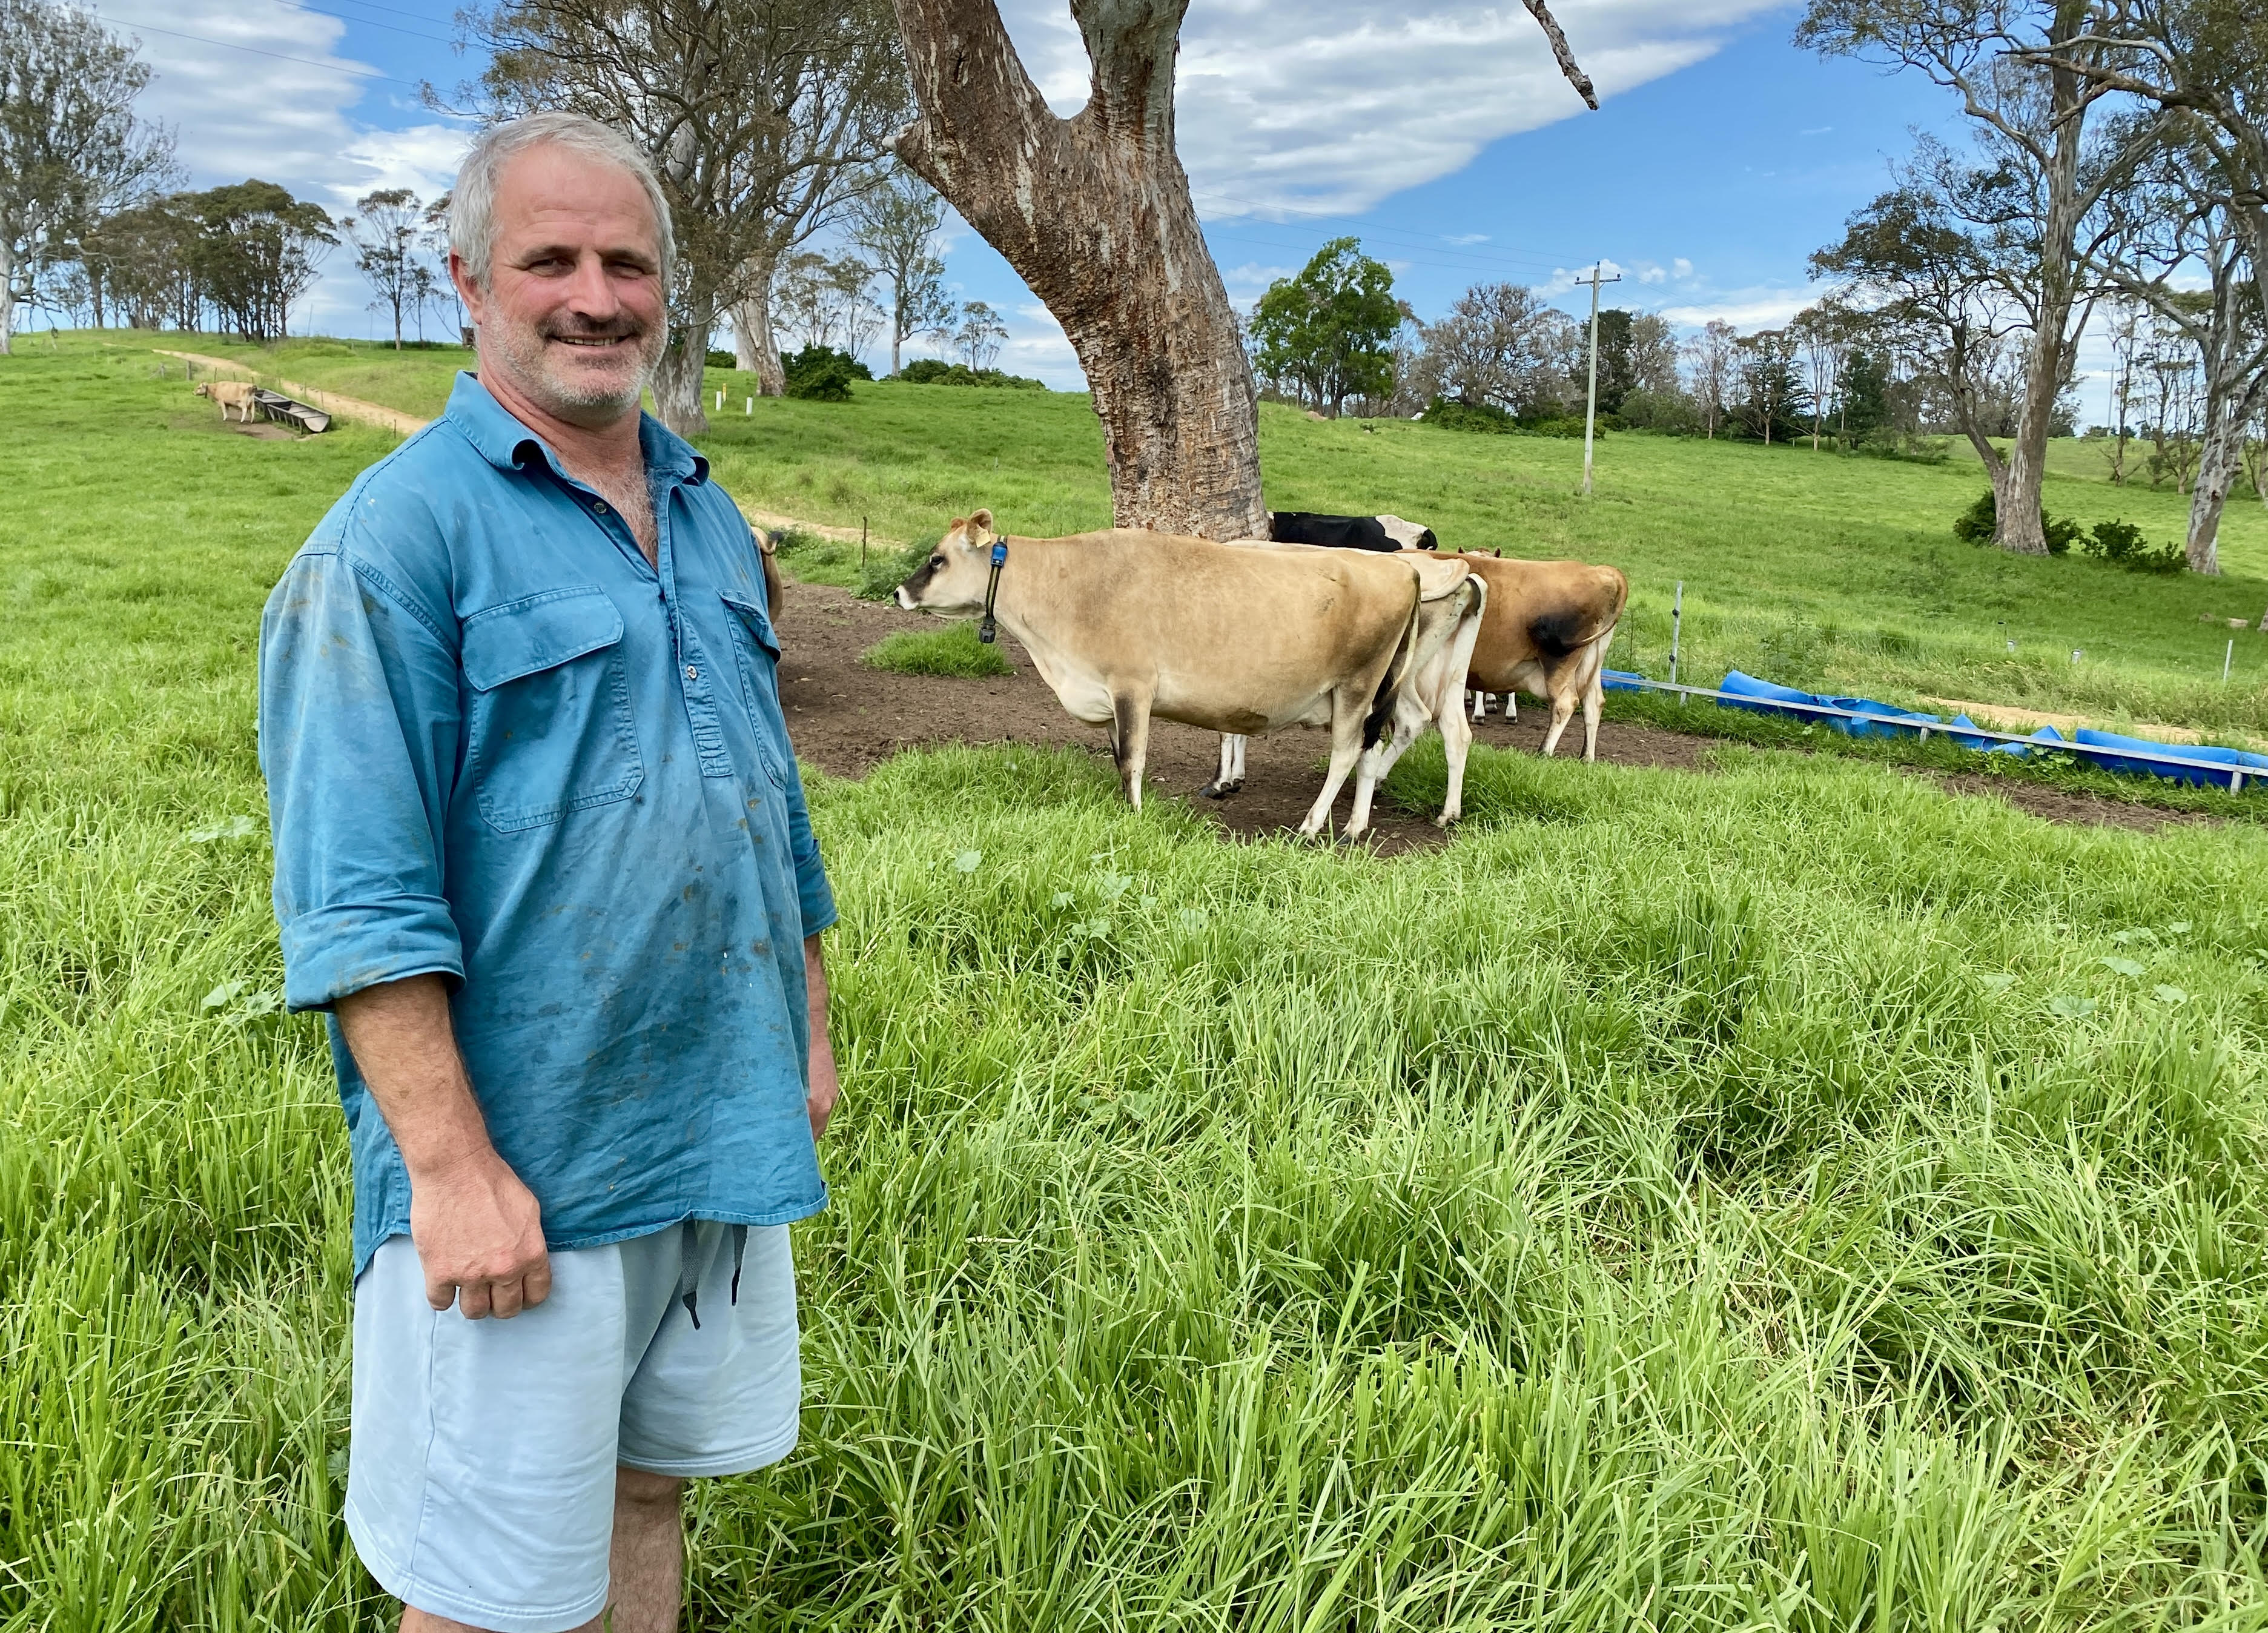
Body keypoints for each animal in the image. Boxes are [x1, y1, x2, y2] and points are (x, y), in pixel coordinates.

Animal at [893, 510, 1473, 837]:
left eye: (937, 559)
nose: (898, 593)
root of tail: (1400, 568)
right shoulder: (1106, 694)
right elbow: (1117, 759)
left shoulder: (1133, 687)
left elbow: (1133, 760)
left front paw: (1133, 816)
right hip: (1379, 691)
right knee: (1378, 748)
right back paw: (1355, 826)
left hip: (1356, 686)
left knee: (1347, 753)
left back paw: (1311, 827)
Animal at [1456, 555, 1628, 760]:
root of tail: (1600, 571)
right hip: (1593, 658)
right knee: (1594, 702)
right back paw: (1586, 758)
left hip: (1558, 659)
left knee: (1566, 702)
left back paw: (1544, 752)